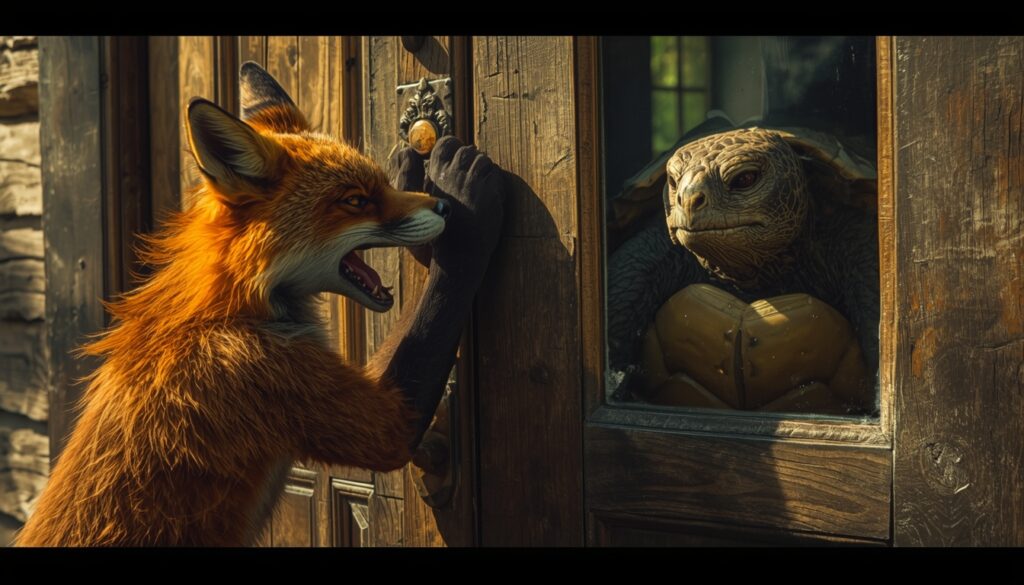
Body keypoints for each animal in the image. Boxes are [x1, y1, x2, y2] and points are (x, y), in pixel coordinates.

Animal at [16, 62, 506, 546]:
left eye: (381, 188)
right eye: (355, 201)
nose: (443, 208)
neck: (231, 307)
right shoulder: (269, 374)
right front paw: (466, 222)